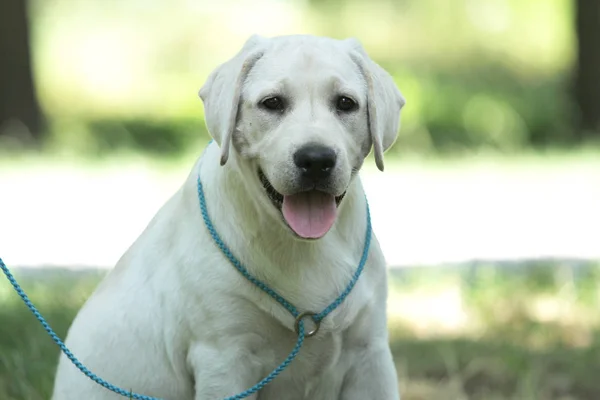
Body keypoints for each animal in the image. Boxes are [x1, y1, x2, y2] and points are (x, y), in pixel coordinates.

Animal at [51, 35, 406, 400]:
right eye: (272, 103)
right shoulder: (225, 358)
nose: (316, 159)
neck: (302, 246)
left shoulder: (371, 355)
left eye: (346, 103)